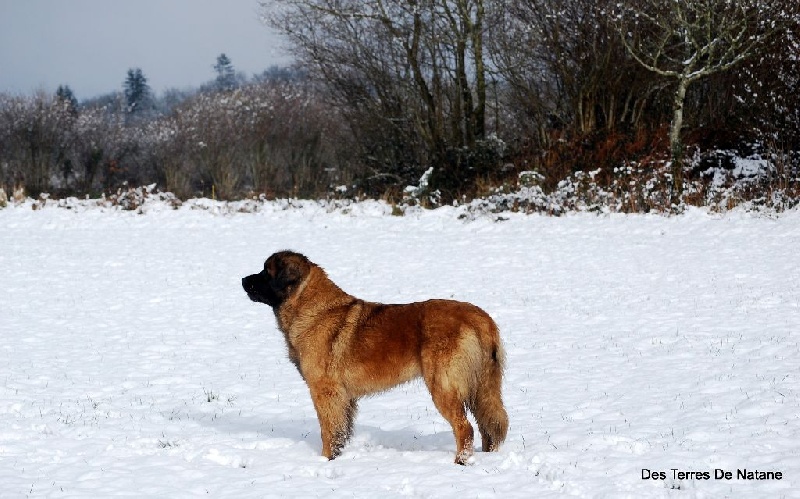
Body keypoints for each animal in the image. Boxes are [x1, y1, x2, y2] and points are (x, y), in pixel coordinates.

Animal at [241, 252, 510, 466]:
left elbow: (328, 431)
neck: (312, 308)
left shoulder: (325, 391)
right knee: (489, 426)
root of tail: (480, 317)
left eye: (266, 272)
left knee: (465, 428)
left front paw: (326, 460)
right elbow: (341, 431)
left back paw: (461, 462)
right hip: (483, 388)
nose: (243, 280)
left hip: (444, 387)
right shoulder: (344, 397)